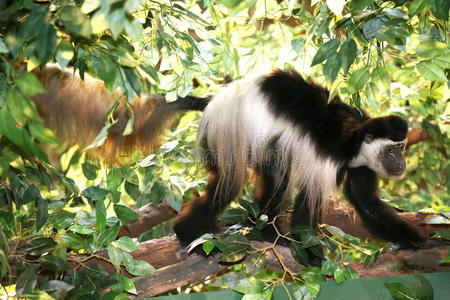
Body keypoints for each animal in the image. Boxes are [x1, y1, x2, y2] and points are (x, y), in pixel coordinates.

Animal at [174, 69, 428, 248]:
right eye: (391, 150)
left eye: (401, 147)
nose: (402, 163)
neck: (355, 142)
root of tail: (218, 99)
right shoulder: (327, 159)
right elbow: (308, 202)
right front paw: (312, 258)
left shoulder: (362, 165)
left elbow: (367, 203)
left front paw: (420, 241)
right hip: (233, 133)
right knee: (236, 182)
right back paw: (189, 233)